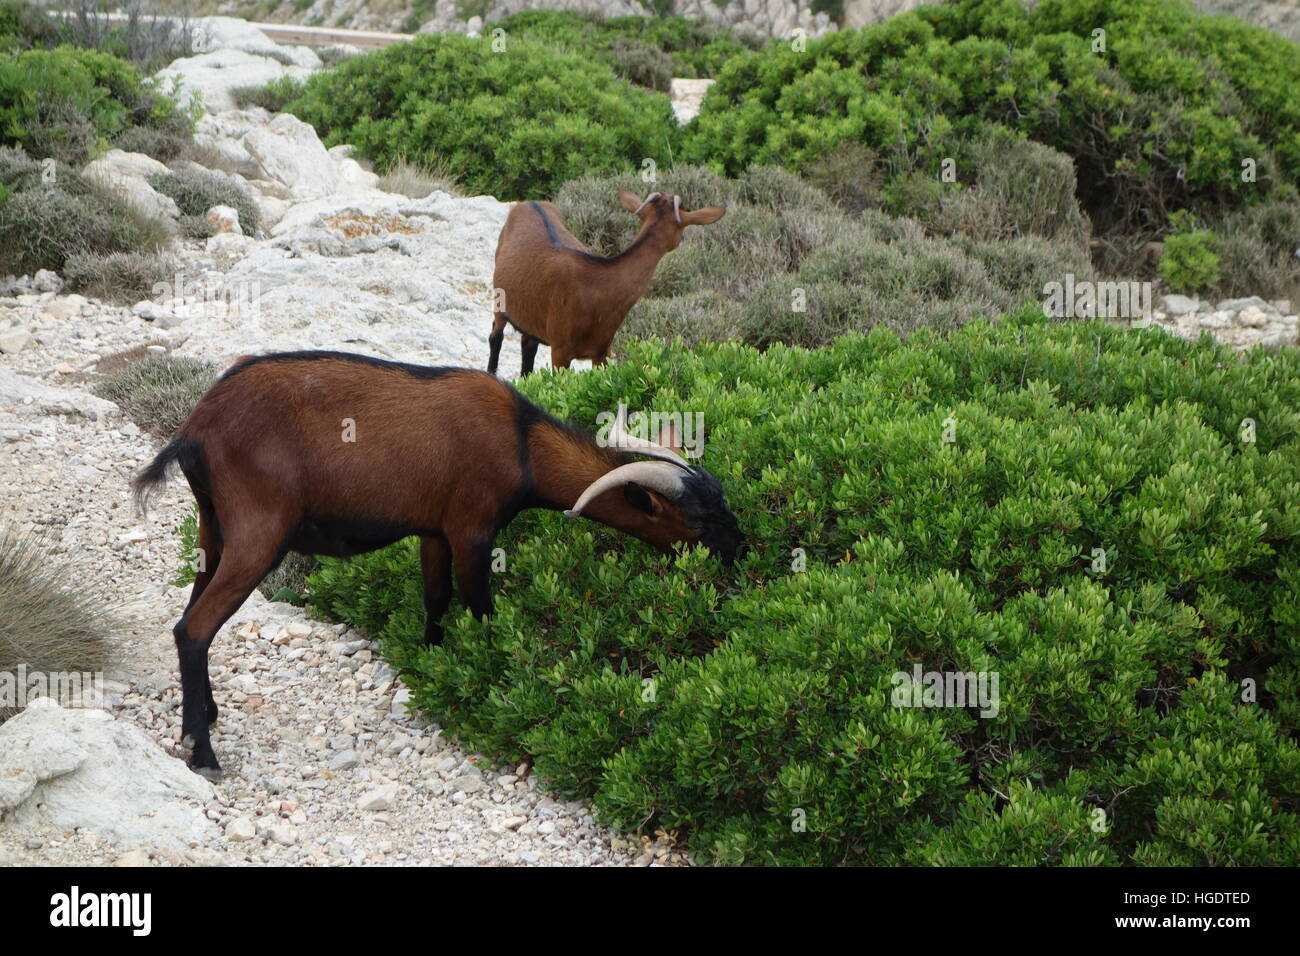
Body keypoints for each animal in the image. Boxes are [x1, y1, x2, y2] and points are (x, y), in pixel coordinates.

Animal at [134, 351, 743, 780]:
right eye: (698, 515)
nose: (740, 548)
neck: (522, 441)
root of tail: (194, 430)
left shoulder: (434, 531)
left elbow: (436, 602)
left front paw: (432, 673)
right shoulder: (472, 530)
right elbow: (480, 611)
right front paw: (491, 685)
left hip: (212, 531)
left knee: (192, 612)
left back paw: (204, 717)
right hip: (259, 531)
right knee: (195, 627)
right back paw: (204, 753)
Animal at [491, 191, 728, 377]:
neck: (598, 285)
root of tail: (529, 202)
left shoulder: (602, 350)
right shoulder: (560, 348)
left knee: (527, 346)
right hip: (499, 300)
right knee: (496, 336)